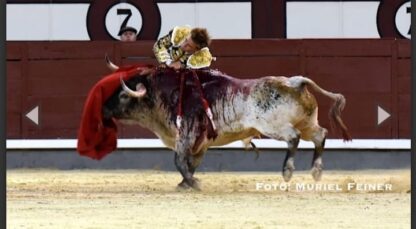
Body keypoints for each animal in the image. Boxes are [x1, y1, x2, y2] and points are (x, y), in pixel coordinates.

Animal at [102, 62, 350, 190]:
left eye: (123, 95)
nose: (103, 108)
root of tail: (294, 82)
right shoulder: (200, 143)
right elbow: (192, 163)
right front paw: (186, 183)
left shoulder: (186, 135)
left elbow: (179, 161)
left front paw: (193, 184)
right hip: (308, 122)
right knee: (320, 135)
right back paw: (316, 171)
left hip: (274, 126)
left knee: (294, 137)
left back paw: (287, 171)